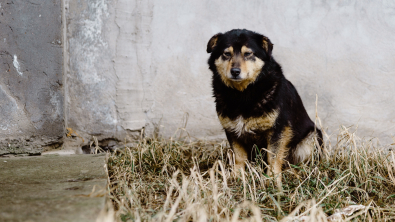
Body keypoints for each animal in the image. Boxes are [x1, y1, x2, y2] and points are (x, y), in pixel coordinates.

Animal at [206, 29, 324, 189]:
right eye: (226, 53)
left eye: (248, 53)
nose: (235, 71)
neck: (242, 94)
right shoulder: (231, 129)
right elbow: (239, 156)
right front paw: (237, 176)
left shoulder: (278, 129)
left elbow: (273, 157)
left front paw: (273, 181)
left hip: (312, 138)